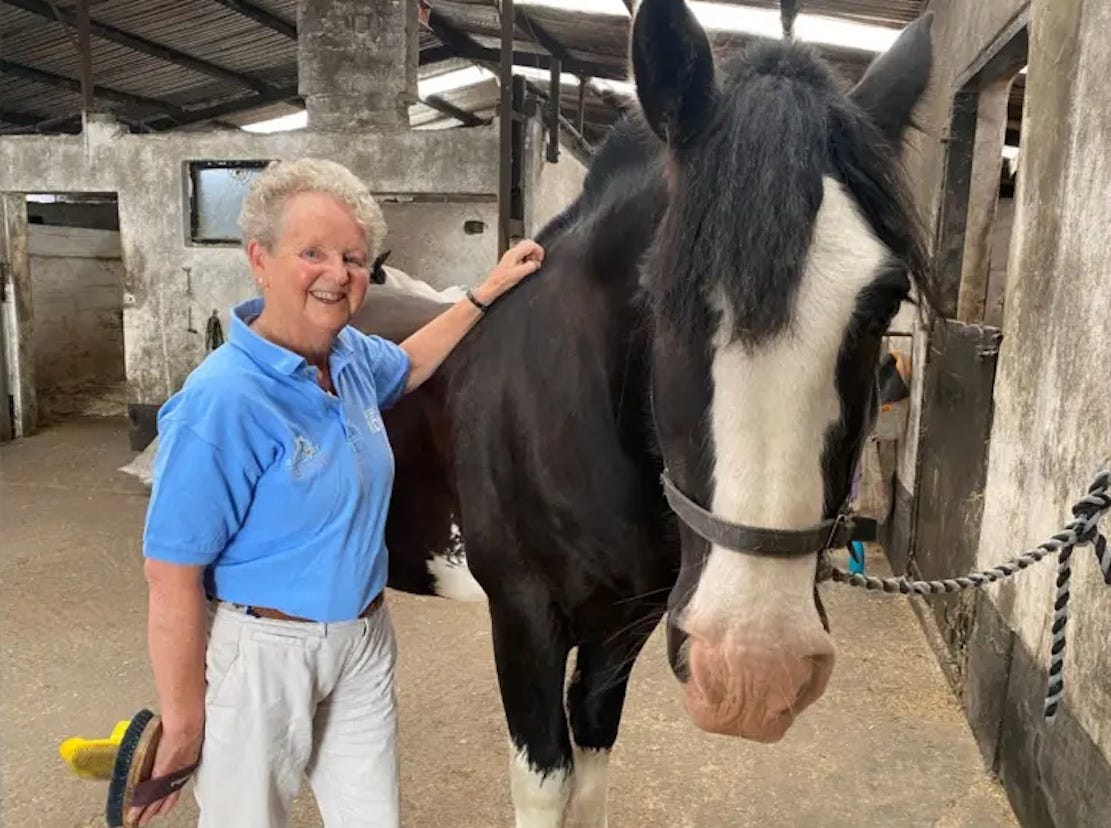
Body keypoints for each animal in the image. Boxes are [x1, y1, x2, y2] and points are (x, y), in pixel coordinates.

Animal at [376, 1, 936, 824]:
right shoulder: (522, 620)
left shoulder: (625, 631)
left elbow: (590, 771)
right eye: (657, 292)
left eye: (886, 301)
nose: (753, 674)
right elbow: (546, 782)